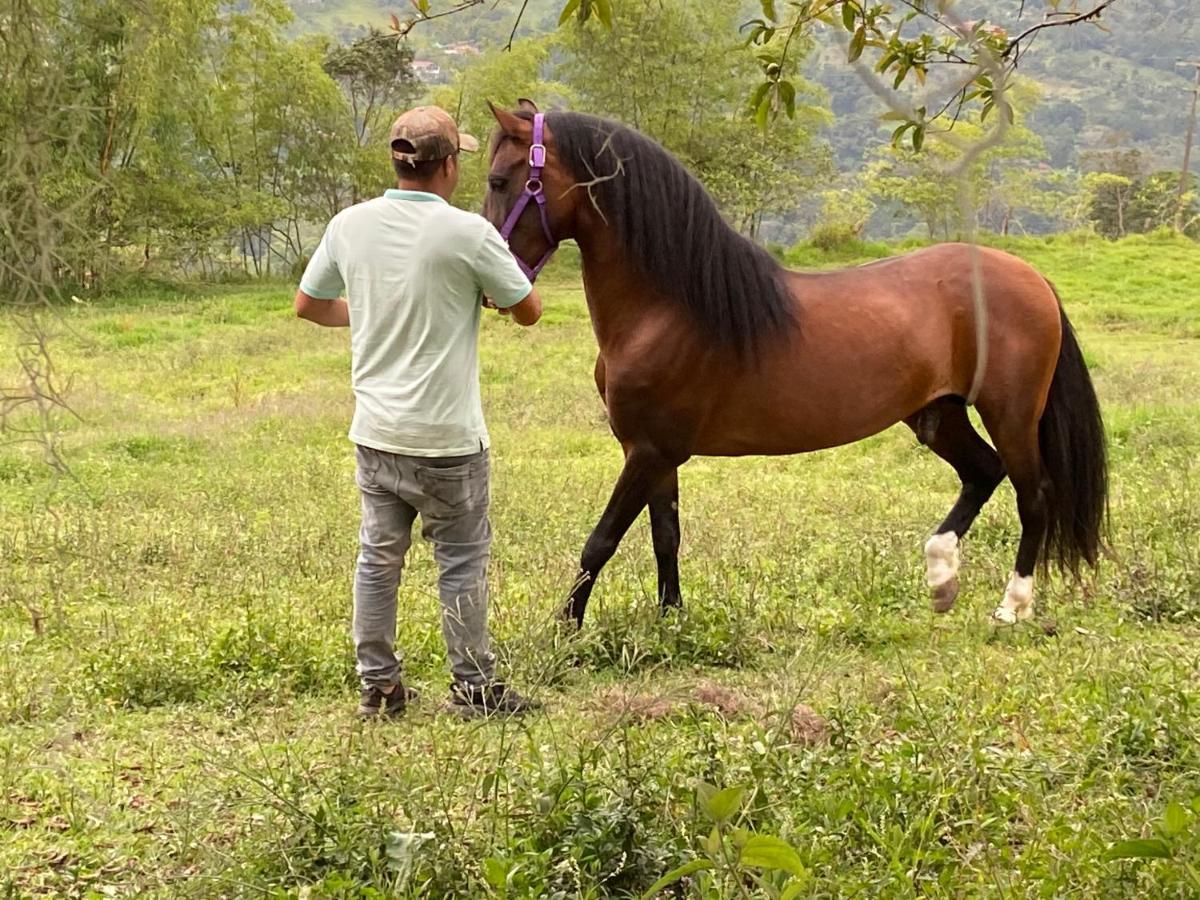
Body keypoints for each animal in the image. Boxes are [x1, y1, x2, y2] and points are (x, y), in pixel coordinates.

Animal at [477, 102, 1104, 628]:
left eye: (499, 180)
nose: (493, 291)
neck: (668, 308)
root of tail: (1031, 278)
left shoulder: (648, 451)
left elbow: (601, 541)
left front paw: (565, 628)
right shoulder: (656, 453)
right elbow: (665, 536)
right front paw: (671, 620)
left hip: (1011, 413)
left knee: (1033, 494)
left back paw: (1012, 605)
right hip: (937, 414)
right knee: (982, 473)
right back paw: (941, 576)